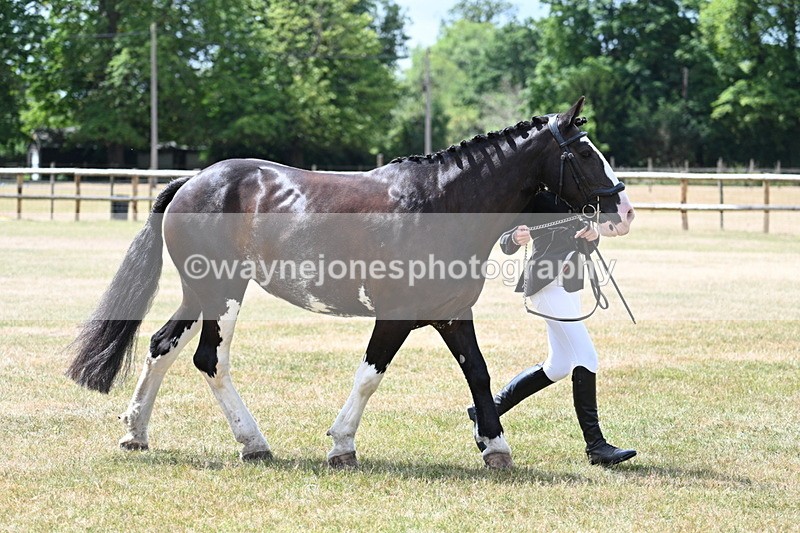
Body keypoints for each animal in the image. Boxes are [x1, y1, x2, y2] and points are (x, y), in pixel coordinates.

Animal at [66, 97, 635, 469]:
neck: (440, 203)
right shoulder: (396, 317)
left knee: (162, 346)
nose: (624, 209)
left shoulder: (452, 313)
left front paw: (495, 447)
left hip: (200, 293)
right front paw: (341, 445)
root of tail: (193, 181)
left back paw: (136, 433)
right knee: (210, 360)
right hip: (223, 294)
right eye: (585, 153)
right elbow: (370, 376)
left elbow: (479, 372)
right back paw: (253, 443)